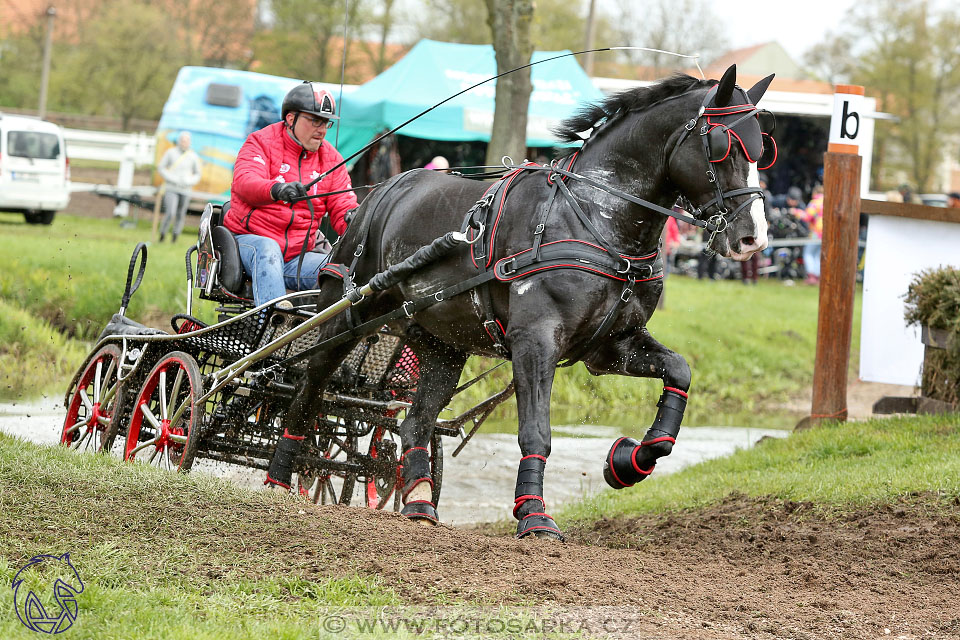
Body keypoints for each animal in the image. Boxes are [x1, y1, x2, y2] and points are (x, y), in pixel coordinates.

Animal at [268, 65, 772, 536]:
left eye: (762, 150)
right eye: (723, 144)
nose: (754, 237)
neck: (594, 218)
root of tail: (383, 190)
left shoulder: (612, 346)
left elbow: (679, 373)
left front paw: (629, 461)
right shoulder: (536, 342)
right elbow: (537, 431)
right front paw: (533, 513)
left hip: (442, 344)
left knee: (415, 422)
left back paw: (419, 501)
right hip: (346, 316)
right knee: (309, 386)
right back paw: (281, 473)